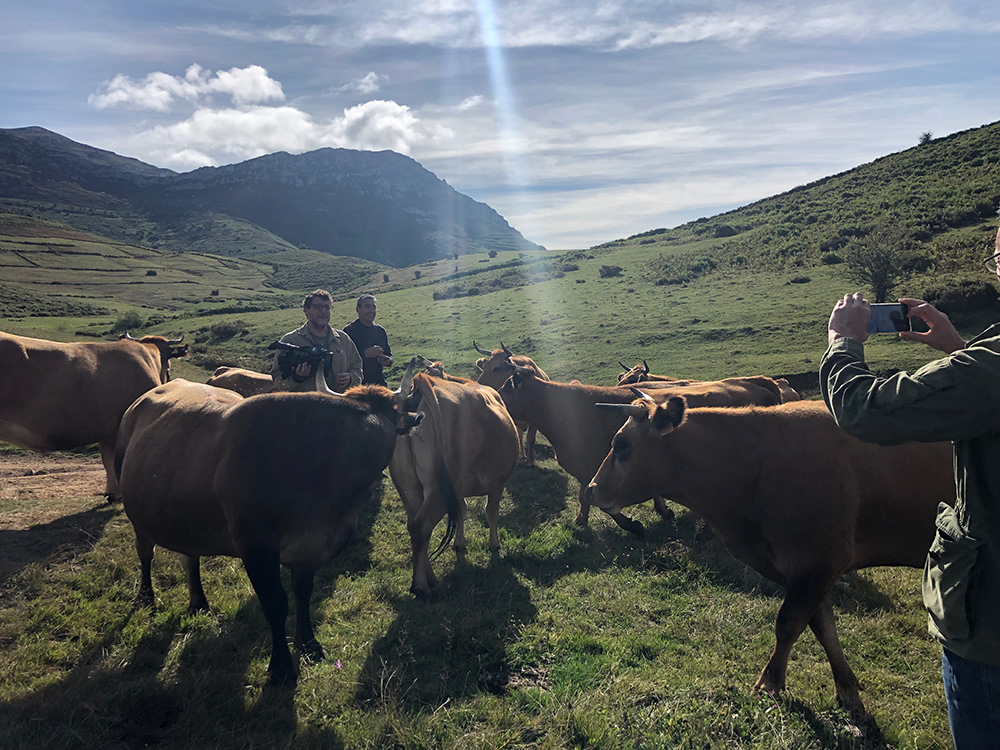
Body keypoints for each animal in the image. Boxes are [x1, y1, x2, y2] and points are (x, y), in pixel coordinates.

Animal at [115, 366, 428, 688]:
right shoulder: (256, 549)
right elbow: (275, 603)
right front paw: (281, 666)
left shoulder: (310, 547)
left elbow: (303, 593)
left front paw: (308, 643)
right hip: (137, 514)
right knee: (145, 553)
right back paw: (147, 597)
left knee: (189, 557)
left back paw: (199, 601)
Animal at [388, 374, 520, 600]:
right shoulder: (497, 483)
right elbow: (491, 513)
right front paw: (494, 544)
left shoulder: (456, 490)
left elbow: (461, 512)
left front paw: (459, 543)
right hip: (437, 489)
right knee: (421, 525)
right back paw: (421, 586)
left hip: (410, 488)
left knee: (415, 527)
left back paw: (431, 578)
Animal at [498, 368, 780, 536]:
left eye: (507, 387)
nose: (494, 396)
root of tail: (760, 381)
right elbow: (588, 497)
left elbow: (598, 501)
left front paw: (632, 525)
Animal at [584, 396, 952, 712]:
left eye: (622, 444)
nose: (591, 489)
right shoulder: (808, 570)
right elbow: (822, 626)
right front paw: (845, 686)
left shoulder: (817, 562)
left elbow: (788, 623)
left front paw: (770, 682)